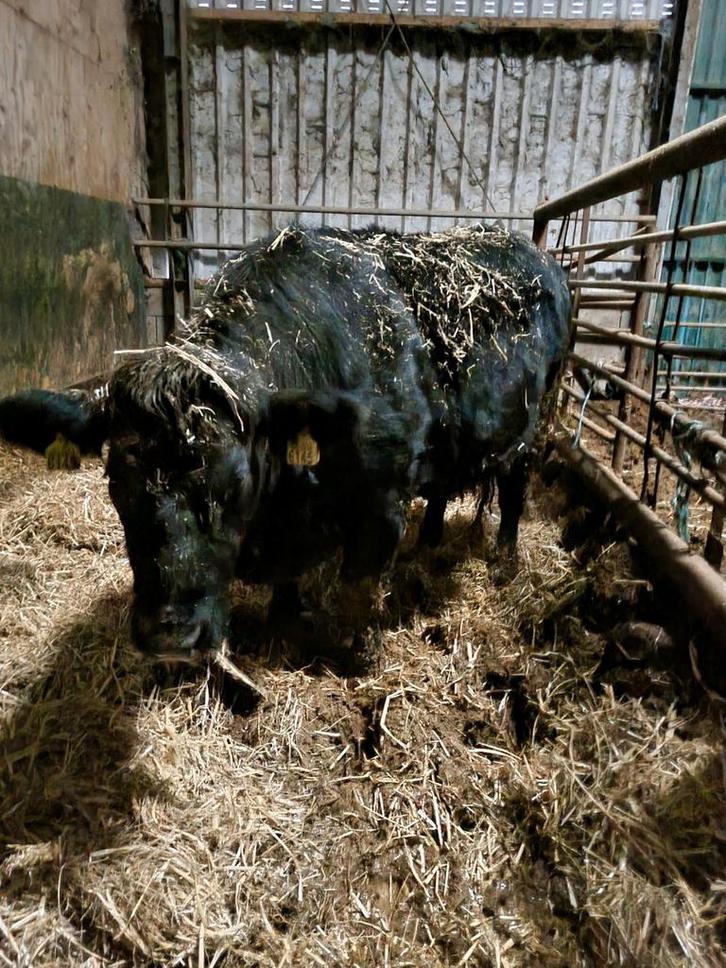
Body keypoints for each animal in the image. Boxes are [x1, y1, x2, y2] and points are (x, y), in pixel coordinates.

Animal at [0, 224, 571, 663]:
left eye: (233, 483)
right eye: (117, 485)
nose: (169, 636)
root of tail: (534, 250)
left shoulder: (381, 503)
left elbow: (361, 586)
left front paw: (358, 653)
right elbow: (288, 578)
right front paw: (283, 619)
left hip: (537, 419)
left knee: (514, 490)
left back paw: (503, 563)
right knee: (442, 488)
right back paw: (428, 542)